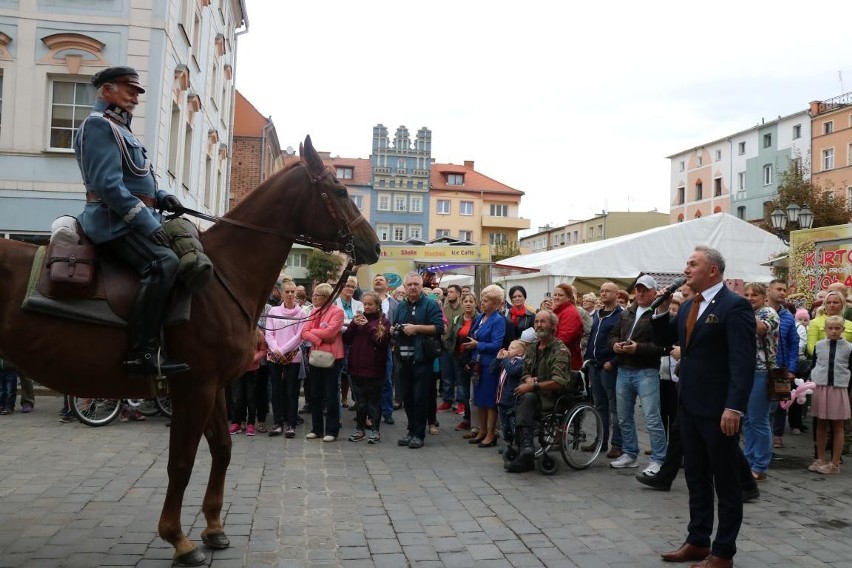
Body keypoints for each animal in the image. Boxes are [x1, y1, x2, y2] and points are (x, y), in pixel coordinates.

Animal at [0, 135, 380, 564]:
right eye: (339, 191)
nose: (374, 245)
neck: (224, 275)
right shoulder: (195, 388)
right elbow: (182, 462)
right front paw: (178, 539)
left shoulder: (214, 387)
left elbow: (223, 449)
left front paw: (213, 527)